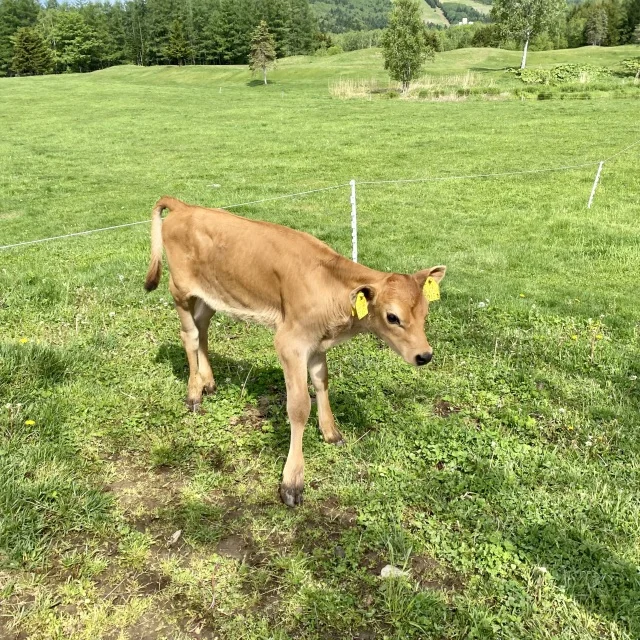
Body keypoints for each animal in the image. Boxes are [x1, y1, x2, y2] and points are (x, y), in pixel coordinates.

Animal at [144, 198, 444, 508]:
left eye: (425, 312)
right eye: (392, 317)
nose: (425, 355)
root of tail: (184, 206)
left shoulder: (316, 343)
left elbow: (322, 383)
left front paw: (331, 432)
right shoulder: (290, 343)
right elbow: (299, 407)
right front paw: (292, 480)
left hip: (212, 295)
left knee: (202, 327)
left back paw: (209, 382)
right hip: (180, 289)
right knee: (190, 335)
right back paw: (194, 393)